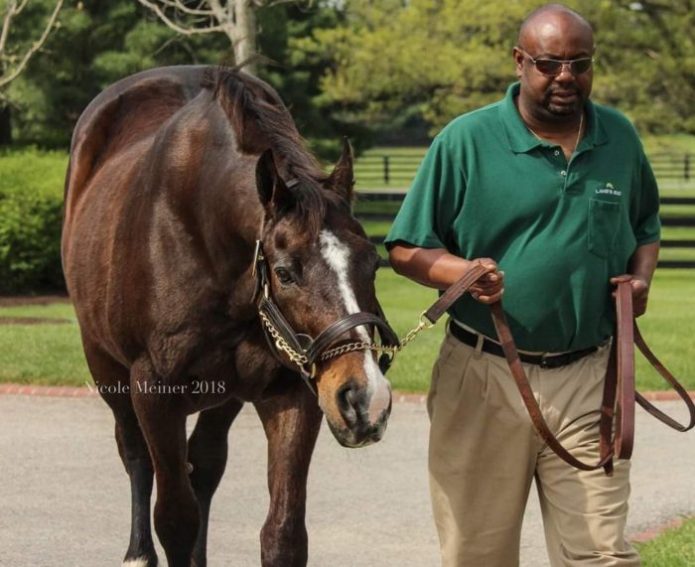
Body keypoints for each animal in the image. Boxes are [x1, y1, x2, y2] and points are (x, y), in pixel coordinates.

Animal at [61, 66, 396, 567]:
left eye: (373, 263)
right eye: (285, 272)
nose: (364, 399)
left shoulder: (292, 391)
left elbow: (283, 534)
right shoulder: (153, 392)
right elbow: (175, 520)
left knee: (205, 466)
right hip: (105, 366)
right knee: (135, 455)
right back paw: (137, 552)